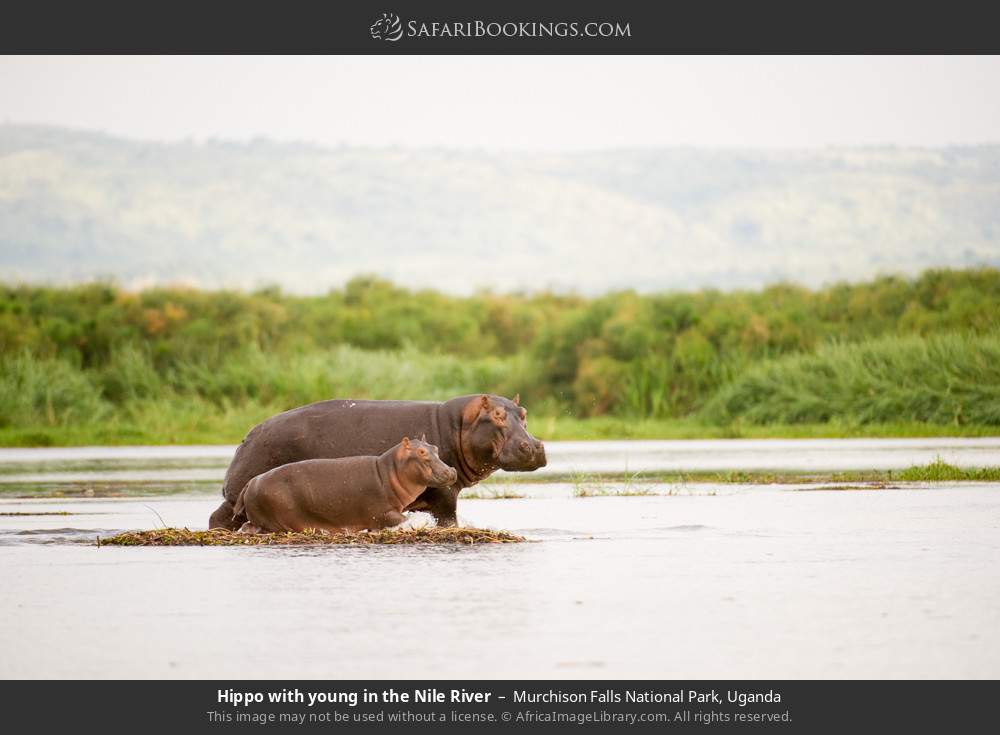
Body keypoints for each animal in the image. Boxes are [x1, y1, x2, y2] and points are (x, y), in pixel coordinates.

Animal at [230, 436, 458, 536]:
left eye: (435, 448)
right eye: (421, 452)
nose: (451, 471)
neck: (388, 471)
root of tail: (251, 482)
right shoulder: (381, 512)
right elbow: (402, 518)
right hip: (272, 520)